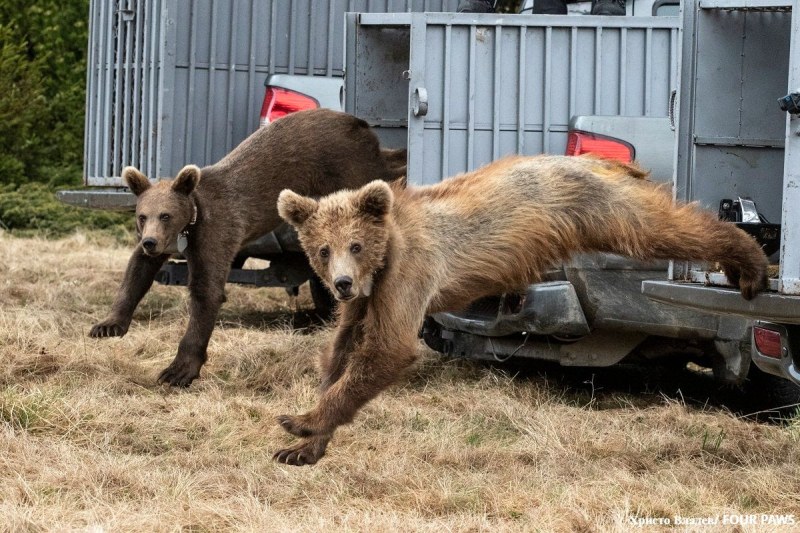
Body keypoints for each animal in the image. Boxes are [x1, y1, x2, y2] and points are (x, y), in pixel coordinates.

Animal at [89, 108, 406, 384]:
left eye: (165, 215)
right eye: (142, 216)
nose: (150, 242)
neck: (189, 224)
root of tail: (359, 123)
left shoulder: (214, 233)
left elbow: (206, 292)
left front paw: (177, 370)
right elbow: (137, 271)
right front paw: (107, 325)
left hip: (347, 165)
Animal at [276, 152, 768, 464]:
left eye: (356, 245)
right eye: (323, 249)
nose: (341, 284)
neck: (382, 260)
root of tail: (600, 160)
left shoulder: (409, 274)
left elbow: (387, 350)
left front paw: (297, 420)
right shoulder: (368, 299)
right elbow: (342, 351)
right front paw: (303, 446)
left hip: (600, 210)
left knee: (665, 227)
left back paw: (749, 262)